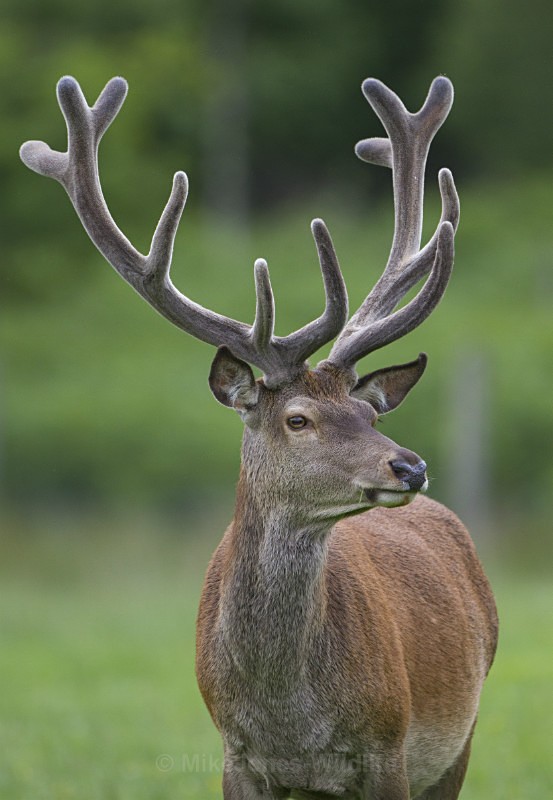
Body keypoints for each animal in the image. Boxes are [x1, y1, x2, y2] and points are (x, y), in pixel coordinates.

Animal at [20, 74, 498, 799]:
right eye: (297, 419)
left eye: (371, 417)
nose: (409, 467)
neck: (288, 721)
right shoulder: (236, 758)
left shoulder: (388, 748)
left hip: (458, 740)